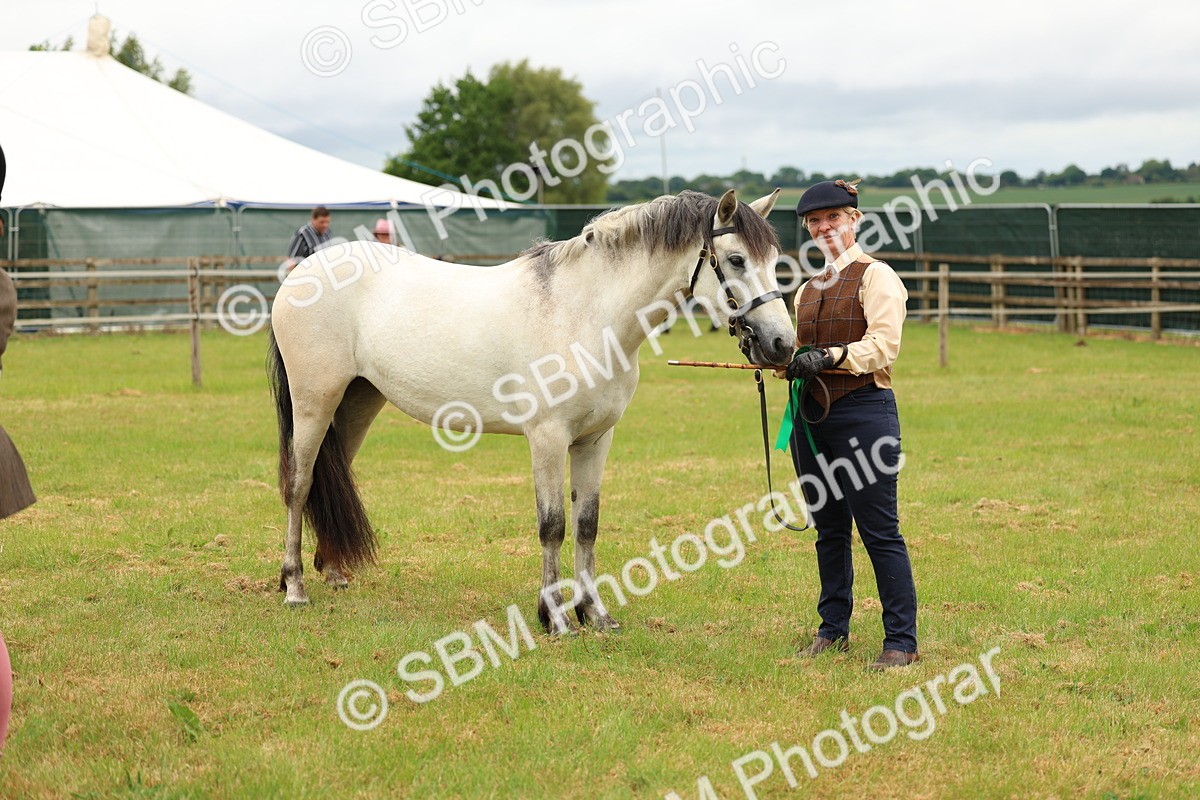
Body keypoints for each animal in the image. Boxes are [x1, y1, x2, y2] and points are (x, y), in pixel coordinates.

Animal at [267, 188, 796, 634]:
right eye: (736, 259)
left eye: (774, 262)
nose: (781, 344)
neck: (585, 313)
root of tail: (303, 273)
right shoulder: (547, 438)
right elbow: (553, 526)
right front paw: (555, 617)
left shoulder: (595, 440)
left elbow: (587, 525)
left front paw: (595, 614)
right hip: (314, 403)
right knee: (300, 485)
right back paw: (295, 587)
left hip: (358, 401)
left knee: (334, 473)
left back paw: (335, 572)